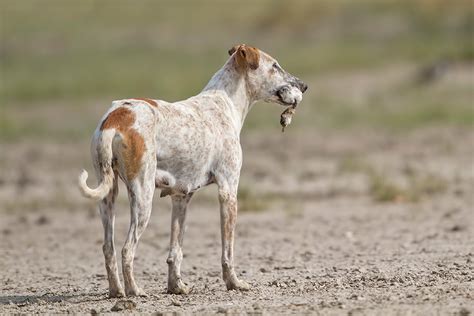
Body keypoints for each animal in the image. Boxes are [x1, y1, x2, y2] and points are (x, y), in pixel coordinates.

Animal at [78, 43, 308, 298]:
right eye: (275, 65)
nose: (303, 86)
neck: (224, 102)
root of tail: (117, 117)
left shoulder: (181, 197)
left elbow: (175, 252)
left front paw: (176, 286)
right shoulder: (228, 191)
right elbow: (228, 251)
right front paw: (234, 283)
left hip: (107, 197)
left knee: (108, 248)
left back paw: (116, 291)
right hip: (142, 197)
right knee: (127, 249)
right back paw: (134, 290)